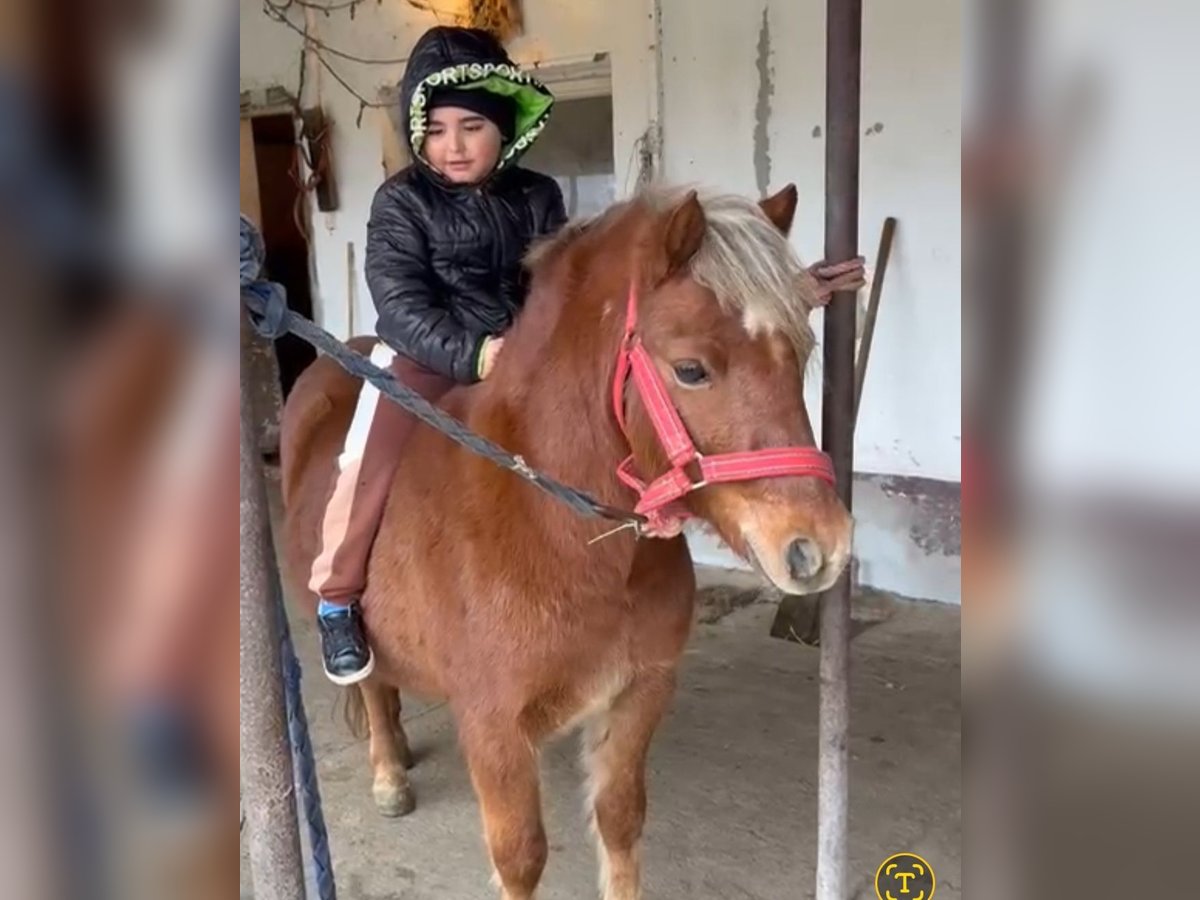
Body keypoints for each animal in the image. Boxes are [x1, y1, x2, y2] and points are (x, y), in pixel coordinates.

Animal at [279, 184, 853, 900]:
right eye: (691, 370)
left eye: (798, 354)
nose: (819, 546)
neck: (567, 537)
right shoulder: (494, 728)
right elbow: (521, 855)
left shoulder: (638, 695)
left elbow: (620, 820)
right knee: (370, 685)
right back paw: (389, 772)